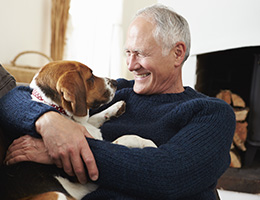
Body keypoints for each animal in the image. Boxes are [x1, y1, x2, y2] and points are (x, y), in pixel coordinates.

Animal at [0, 60, 155, 200]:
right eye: (91, 78)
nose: (115, 82)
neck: (58, 109)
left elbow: (94, 118)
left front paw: (116, 107)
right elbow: (125, 138)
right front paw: (147, 143)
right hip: (57, 194)